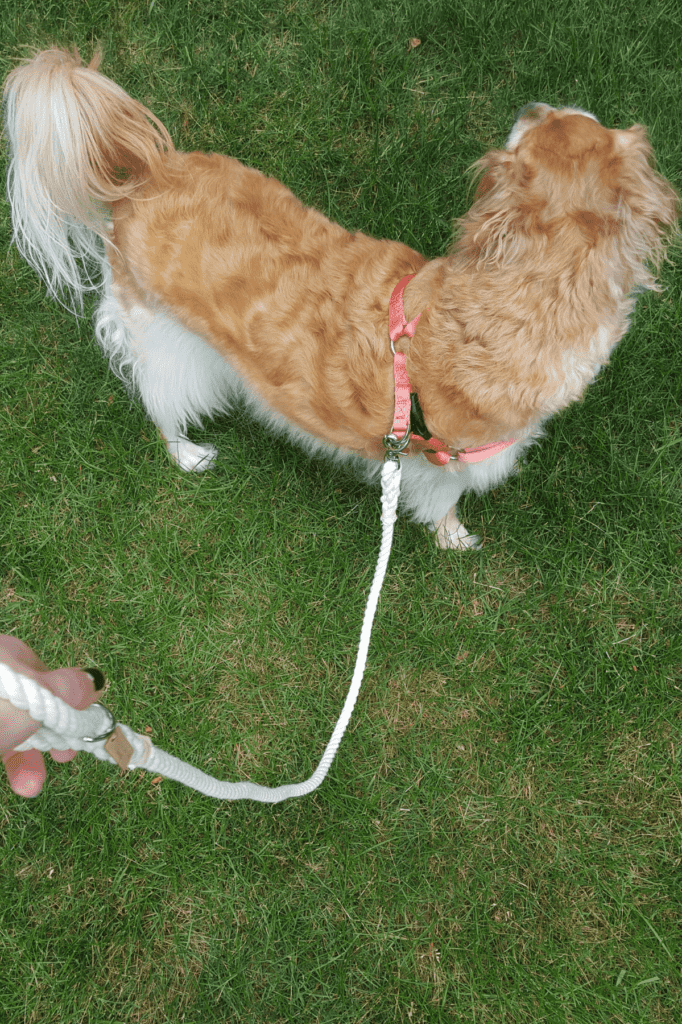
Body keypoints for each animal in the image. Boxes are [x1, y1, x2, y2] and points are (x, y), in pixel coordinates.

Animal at [3, 51, 675, 552]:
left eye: (577, 116)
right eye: (531, 133)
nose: (528, 104)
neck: (529, 287)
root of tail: (148, 170)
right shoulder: (447, 459)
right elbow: (446, 503)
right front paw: (454, 539)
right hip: (166, 342)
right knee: (160, 403)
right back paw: (188, 454)